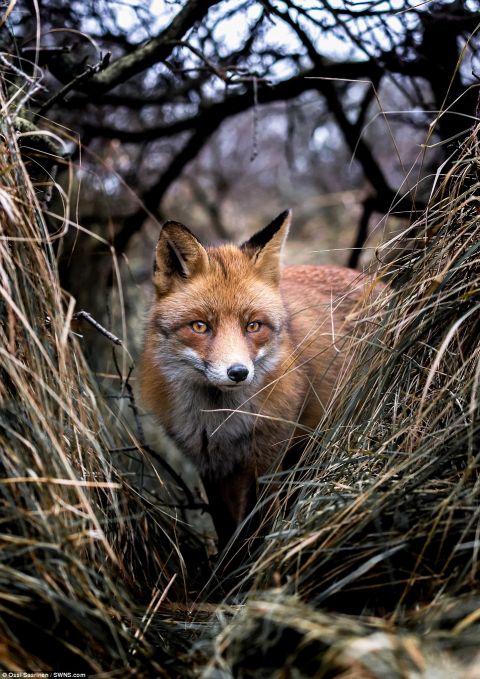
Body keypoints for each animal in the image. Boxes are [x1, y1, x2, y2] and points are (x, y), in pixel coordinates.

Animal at [141, 210, 376, 548]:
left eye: (253, 326)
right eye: (200, 326)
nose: (238, 372)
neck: (219, 421)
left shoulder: (268, 456)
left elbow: (257, 523)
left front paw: (253, 558)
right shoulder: (209, 464)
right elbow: (226, 526)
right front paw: (225, 561)